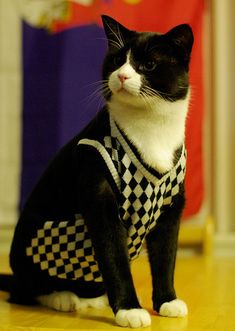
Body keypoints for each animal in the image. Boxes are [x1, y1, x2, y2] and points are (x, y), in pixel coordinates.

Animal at [0, 15, 194, 330]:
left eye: (148, 64)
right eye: (116, 60)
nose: (123, 75)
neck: (151, 130)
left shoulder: (171, 204)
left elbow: (166, 256)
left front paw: (167, 301)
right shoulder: (98, 193)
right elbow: (114, 257)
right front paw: (129, 309)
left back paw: (93, 299)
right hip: (31, 252)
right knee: (24, 291)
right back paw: (62, 298)